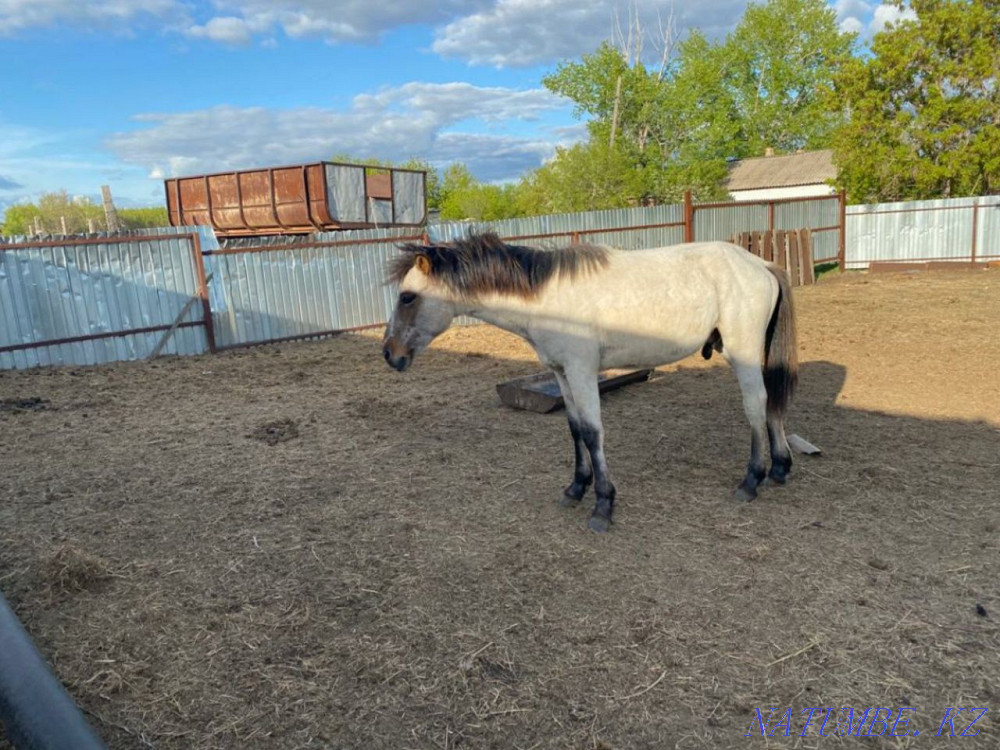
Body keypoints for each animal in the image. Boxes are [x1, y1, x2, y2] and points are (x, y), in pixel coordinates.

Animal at [382, 232, 797, 533]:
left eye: (408, 297)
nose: (390, 353)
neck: (546, 299)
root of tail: (760, 263)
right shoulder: (562, 373)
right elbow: (575, 429)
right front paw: (575, 489)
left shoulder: (582, 372)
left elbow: (593, 433)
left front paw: (602, 505)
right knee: (771, 405)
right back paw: (779, 468)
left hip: (742, 352)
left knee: (756, 405)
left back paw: (751, 480)